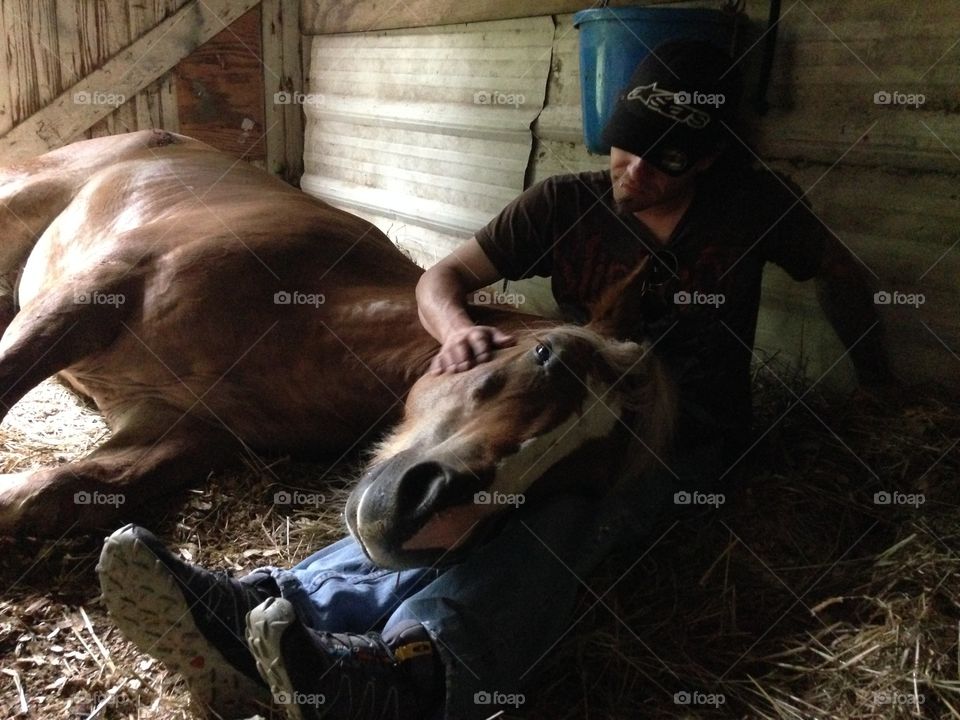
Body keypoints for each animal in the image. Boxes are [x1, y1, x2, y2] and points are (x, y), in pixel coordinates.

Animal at [0, 130, 674, 566]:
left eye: (578, 485)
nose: (427, 523)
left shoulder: (179, 429)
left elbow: (47, 497)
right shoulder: (95, 295)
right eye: (547, 356)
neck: (314, 321)